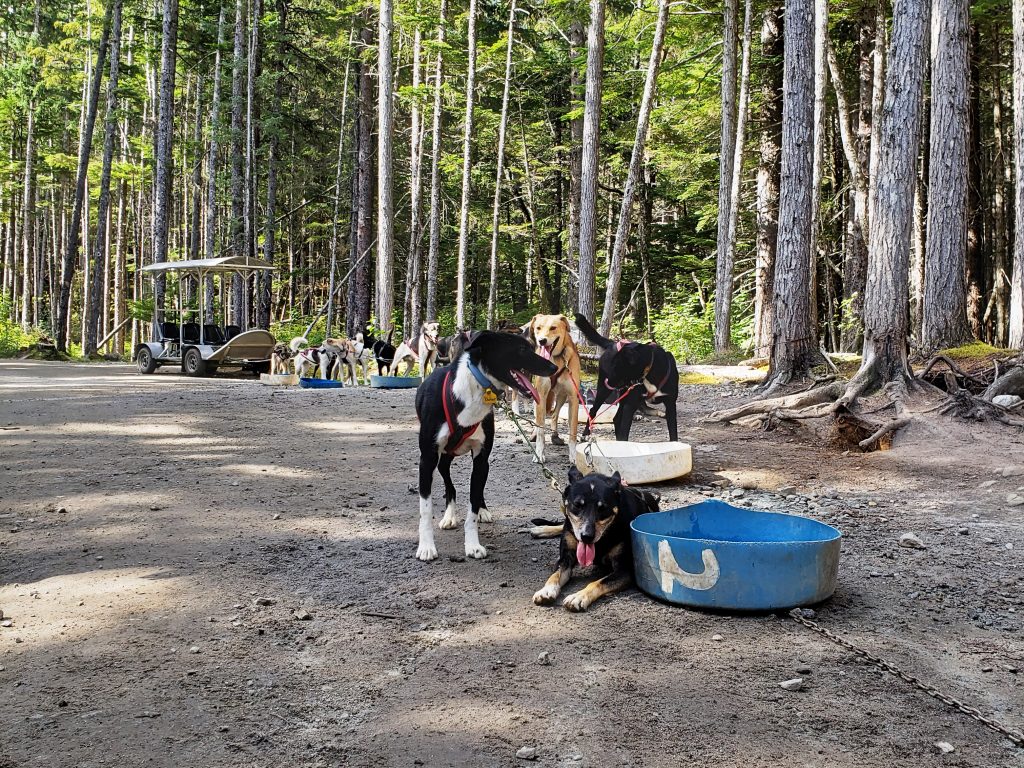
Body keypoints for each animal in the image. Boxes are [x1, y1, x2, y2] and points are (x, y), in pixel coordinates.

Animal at [413, 333, 561, 561]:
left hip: (479, 464)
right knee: (449, 484)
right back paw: (449, 516)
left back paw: (481, 510)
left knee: (476, 489)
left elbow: (473, 504)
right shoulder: (427, 460)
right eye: (521, 349)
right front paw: (427, 546)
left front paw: (473, 543)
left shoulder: (481, 459)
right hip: (442, 460)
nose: (554, 368)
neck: (471, 389)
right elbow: (426, 509)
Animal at [532, 313, 581, 462]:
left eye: (553, 328)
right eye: (538, 328)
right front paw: (539, 453)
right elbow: (541, 429)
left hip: (561, 396)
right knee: (539, 418)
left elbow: (573, 431)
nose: (542, 341)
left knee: (554, 414)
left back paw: (555, 435)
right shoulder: (541, 395)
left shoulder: (573, 398)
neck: (554, 360)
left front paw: (573, 455)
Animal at [532, 468, 659, 614]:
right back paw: (541, 529)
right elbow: (555, 575)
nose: (586, 536)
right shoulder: (565, 558)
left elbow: (598, 582)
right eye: (577, 505)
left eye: (603, 508)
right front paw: (546, 590)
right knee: (563, 523)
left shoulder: (625, 570)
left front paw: (579, 596)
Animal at [577, 313, 679, 444]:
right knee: (593, 411)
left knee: (616, 418)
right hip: (604, 391)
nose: (608, 381)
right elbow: (625, 431)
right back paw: (585, 434)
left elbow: (673, 433)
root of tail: (612, 343)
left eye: (617, 366)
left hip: (623, 394)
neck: (650, 370)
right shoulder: (631, 404)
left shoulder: (670, 404)